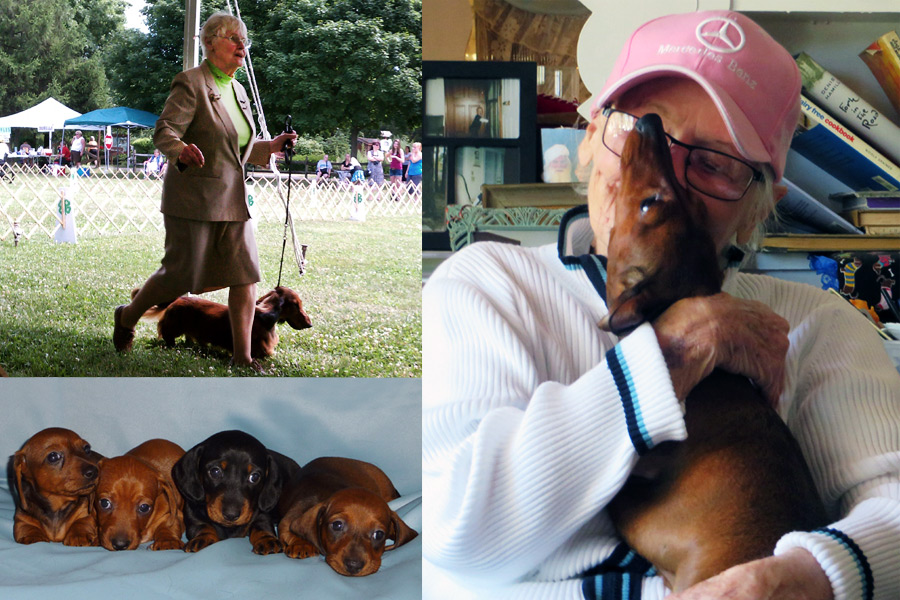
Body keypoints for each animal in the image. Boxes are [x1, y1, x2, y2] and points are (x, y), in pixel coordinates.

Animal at [139, 284, 312, 358]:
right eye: (296, 305)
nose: (310, 324)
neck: (264, 317)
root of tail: (177, 299)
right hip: (173, 328)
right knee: (168, 337)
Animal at [168, 432, 296, 552]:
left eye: (254, 477)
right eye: (215, 471)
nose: (231, 515)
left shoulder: (262, 514)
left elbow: (261, 526)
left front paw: (267, 539)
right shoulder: (192, 510)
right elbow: (202, 525)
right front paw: (204, 538)